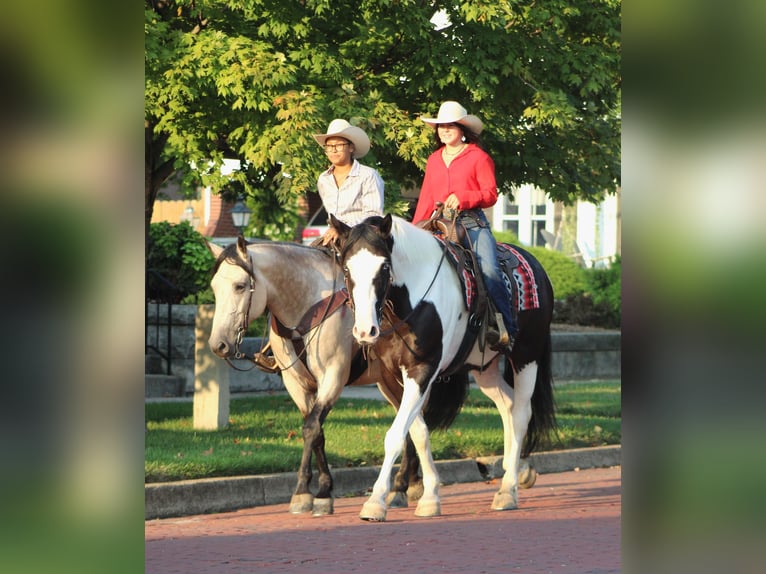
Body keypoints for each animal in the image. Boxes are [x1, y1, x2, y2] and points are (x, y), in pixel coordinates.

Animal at [336, 215, 560, 520]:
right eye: (347, 267)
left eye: (384, 266)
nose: (364, 330)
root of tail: (537, 265)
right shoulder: (393, 376)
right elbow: (417, 432)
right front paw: (430, 496)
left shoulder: (423, 370)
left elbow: (395, 435)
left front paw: (376, 501)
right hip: (485, 368)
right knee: (508, 406)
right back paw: (514, 471)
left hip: (527, 355)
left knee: (522, 414)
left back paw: (508, 490)